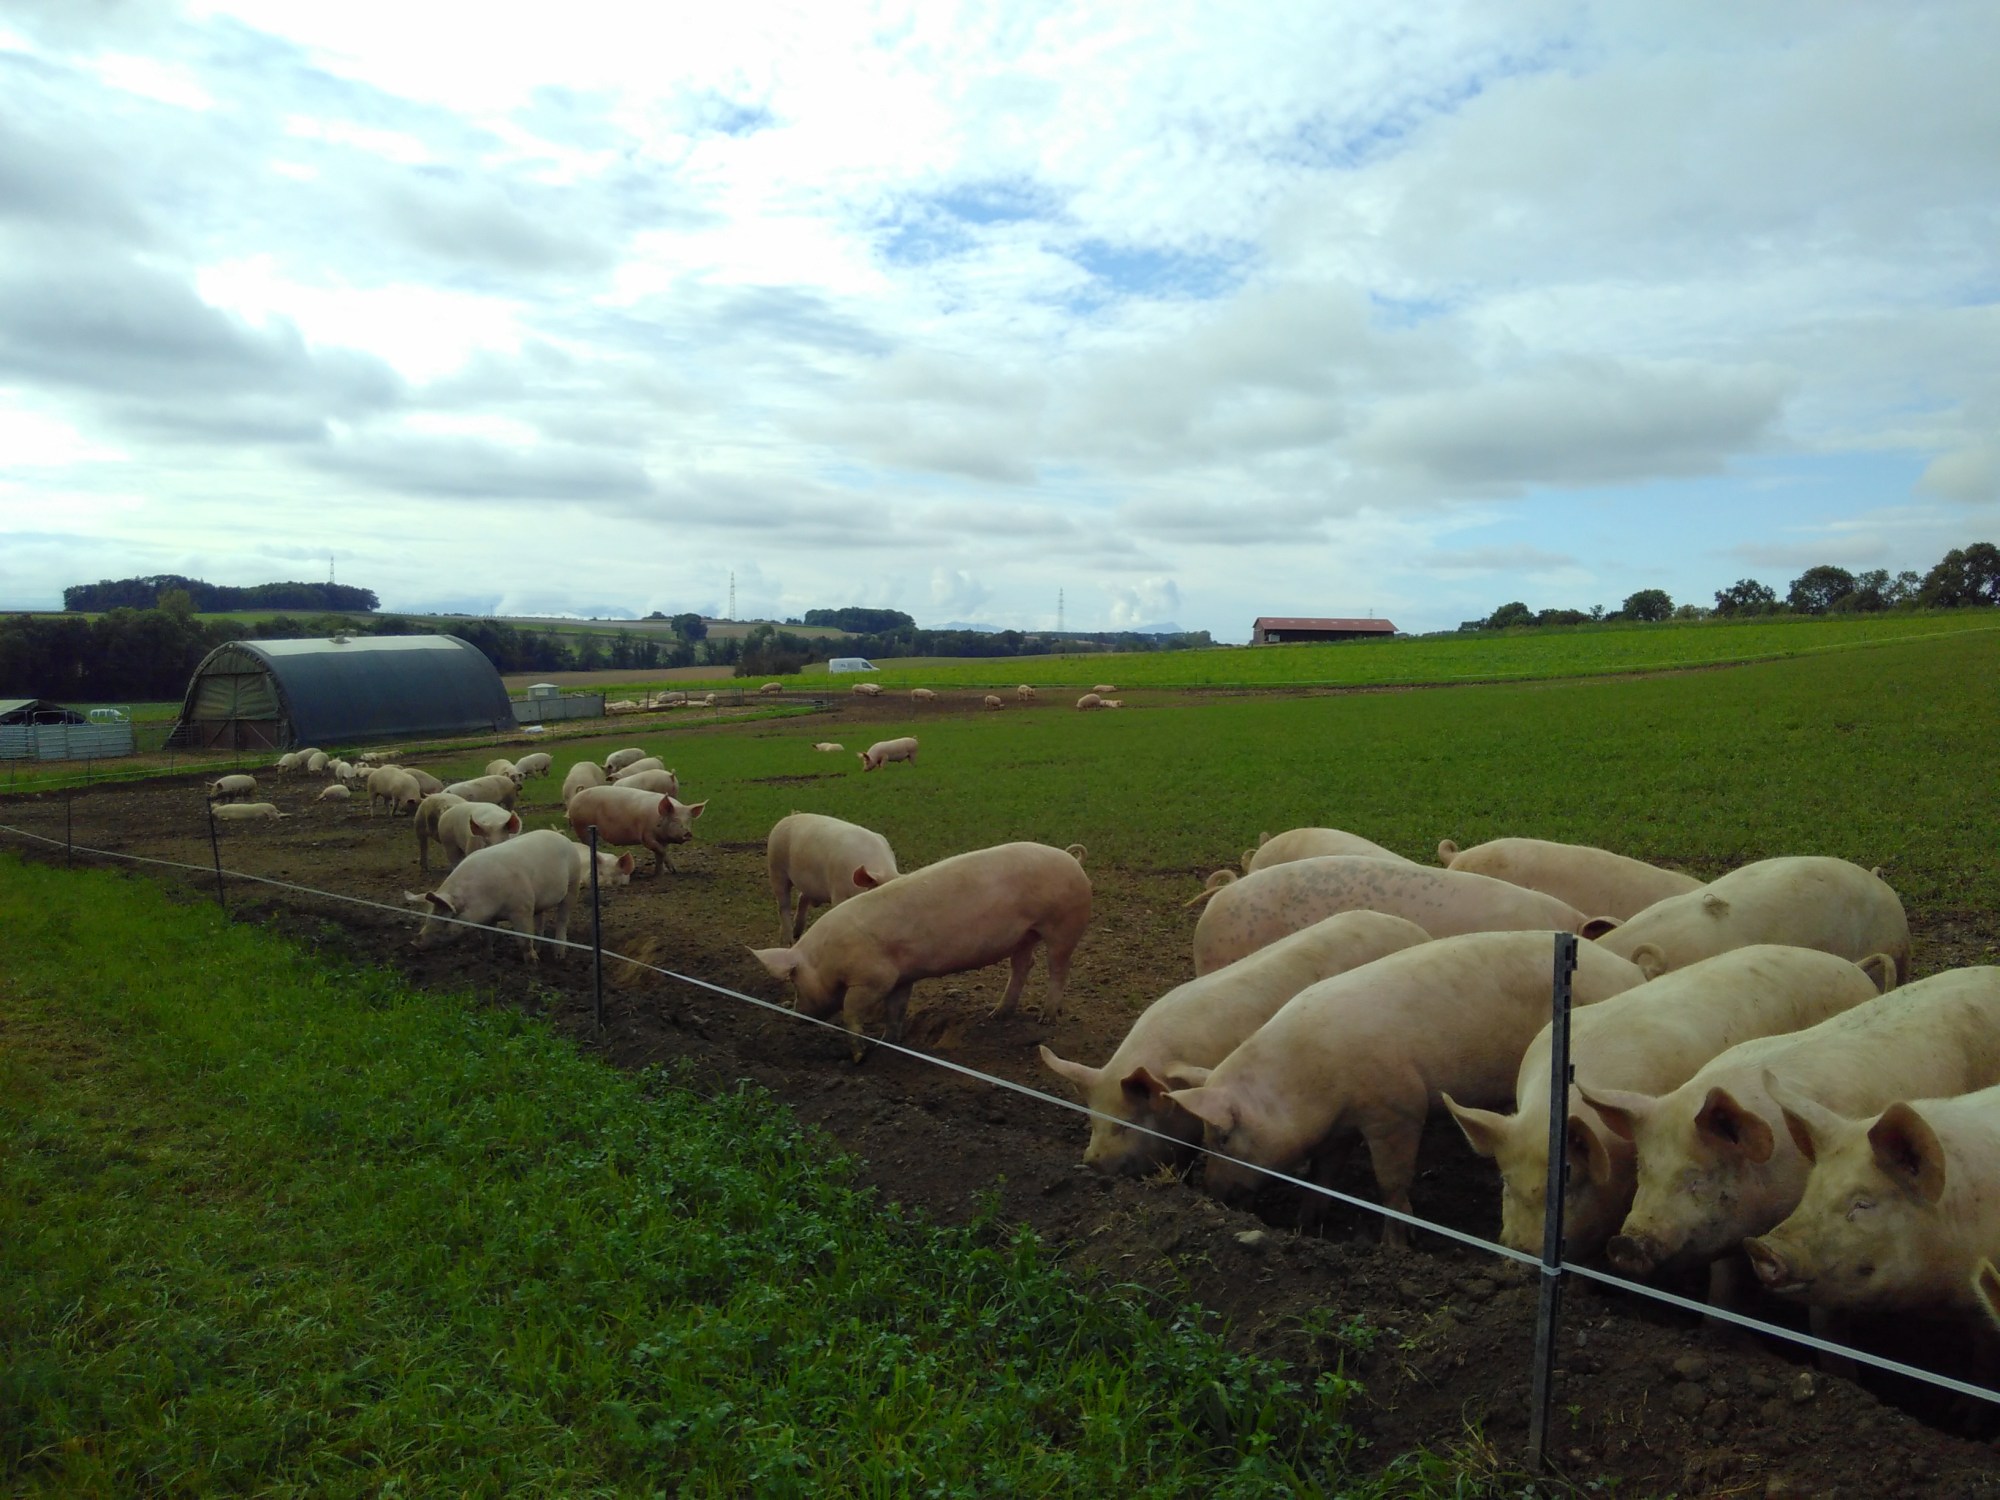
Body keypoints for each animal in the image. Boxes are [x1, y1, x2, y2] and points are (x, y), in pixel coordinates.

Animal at [403, 829, 581, 963]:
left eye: (445, 918)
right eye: (428, 916)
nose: (414, 942)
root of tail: (562, 836)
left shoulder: (522, 908)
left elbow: (524, 940)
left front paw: (533, 963)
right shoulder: (488, 918)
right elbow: (486, 938)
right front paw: (488, 959)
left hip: (573, 884)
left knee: (562, 919)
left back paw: (559, 956)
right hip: (540, 899)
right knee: (540, 919)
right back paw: (540, 947)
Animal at [565, 783, 707, 875]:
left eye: (689, 820)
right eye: (675, 820)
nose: (688, 833)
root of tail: (575, 798)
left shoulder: (663, 840)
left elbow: (660, 854)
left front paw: (660, 873)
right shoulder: (646, 836)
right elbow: (660, 851)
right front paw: (673, 870)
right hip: (582, 827)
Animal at [751, 842, 1092, 1059]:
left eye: (794, 979)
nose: (795, 1015)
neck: (827, 957)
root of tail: (1071, 858)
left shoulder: (874, 978)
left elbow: (851, 1011)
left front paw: (860, 1055)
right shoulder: (902, 977)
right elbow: (896, 1010)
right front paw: (889, 1044)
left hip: (1063, 925)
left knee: (1058, 967)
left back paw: (1046, 1019)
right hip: (1024, 935)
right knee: (1023, 965)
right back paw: (997, 1014)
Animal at [766, 812, 900, 944]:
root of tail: (790, 816)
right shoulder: (838, 893)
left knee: (802, 897)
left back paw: (797, 934)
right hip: (776, 869)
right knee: (783, 905)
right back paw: (788, 941)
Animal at [1168, 933, 1648, 1245]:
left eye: (1222, 1137)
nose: (1212, 1193)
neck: (1308, 1080)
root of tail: (1632, 972)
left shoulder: (1396, 1108)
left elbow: (1391, 1183)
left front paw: (1395, 1247)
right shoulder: (1340, 1127)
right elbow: (1324, 1174)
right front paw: (1307, 1226)